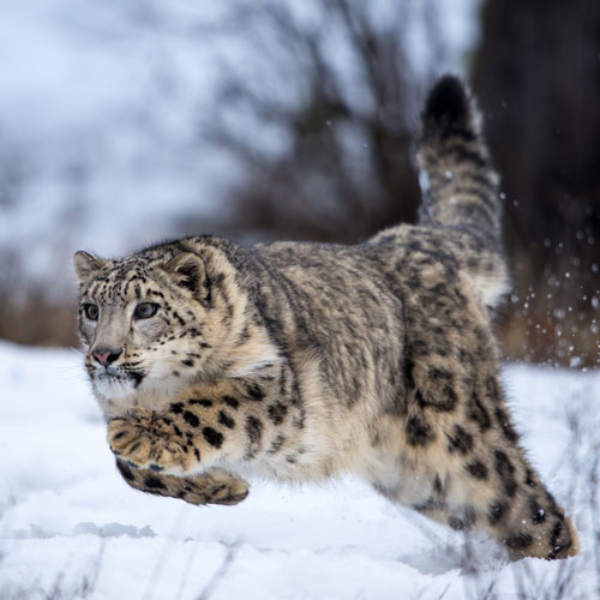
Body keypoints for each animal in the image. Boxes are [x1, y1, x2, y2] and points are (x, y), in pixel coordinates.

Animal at [75, 77, 576, 560]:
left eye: (146, 309)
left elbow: (208, 407)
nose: (104, 355)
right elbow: (126, 469)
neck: (154, 392)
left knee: (532, 507)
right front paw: (224, 485)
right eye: (91, 310)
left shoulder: (274, 387)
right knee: (510, 517)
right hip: (421, 478)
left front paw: (138, 435)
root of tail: (415, 238)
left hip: (461, 433)